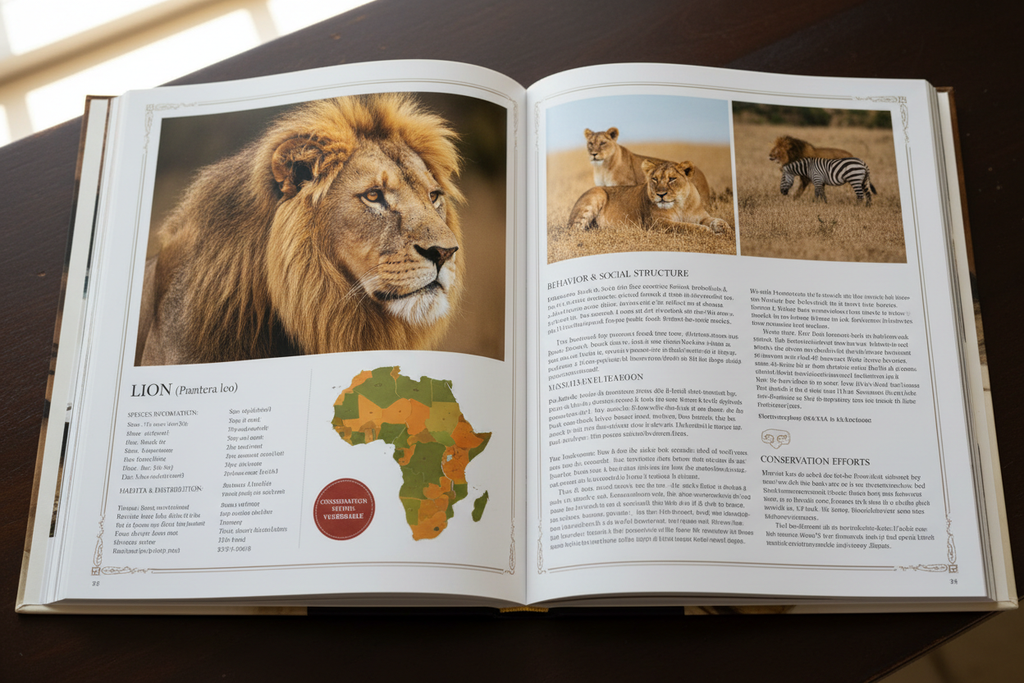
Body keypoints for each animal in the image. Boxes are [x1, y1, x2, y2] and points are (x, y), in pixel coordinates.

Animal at [568, 159, 727, 234]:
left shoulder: (701, 216)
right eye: (654, 179)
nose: (660, 194)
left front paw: (725, 228)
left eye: (672, 179)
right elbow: (684, 226)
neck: (680, 204)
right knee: (573, 231)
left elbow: (715, 220)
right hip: (598, 193)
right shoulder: (657, 223)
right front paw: (708, 231)